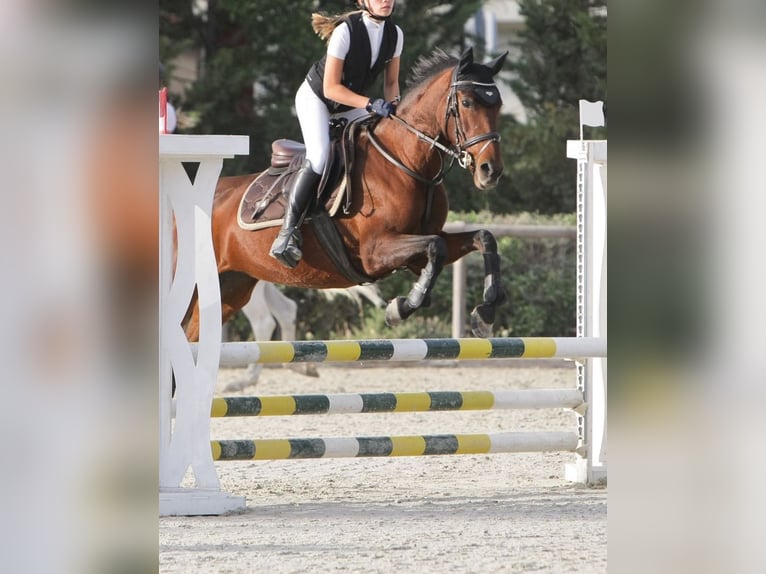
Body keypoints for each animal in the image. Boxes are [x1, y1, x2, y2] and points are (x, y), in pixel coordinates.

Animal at [184, 47, 508, 342]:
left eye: (499, 106)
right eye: (466, 102)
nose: (490, 171)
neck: (407, 162)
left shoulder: (417, 251)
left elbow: (482, 238)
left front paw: (485, 313)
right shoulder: (374, 252)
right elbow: (436, 247)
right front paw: (401, 307)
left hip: (232, 286)